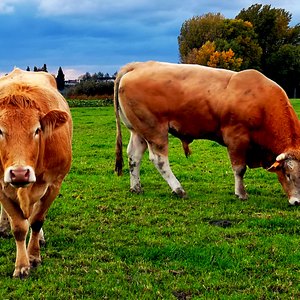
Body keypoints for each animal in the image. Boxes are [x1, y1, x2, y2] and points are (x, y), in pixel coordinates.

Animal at [0, 67, 72, 276]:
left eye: (37, 130)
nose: (19, 173)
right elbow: (18, 227)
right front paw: (22, 265)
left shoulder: (54, 183)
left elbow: (37, 220)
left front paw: (33, 256)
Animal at [114, 61, 300, 206]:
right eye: (288, 174)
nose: (297, 202)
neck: (261, 105)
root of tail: (138, 65)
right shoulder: (236, 139)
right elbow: (239, 169)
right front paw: (241, 194)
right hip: (155, 131)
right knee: (159, 160)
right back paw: (178, 189)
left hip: (138, 131)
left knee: (134, 156)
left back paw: (136, 187)